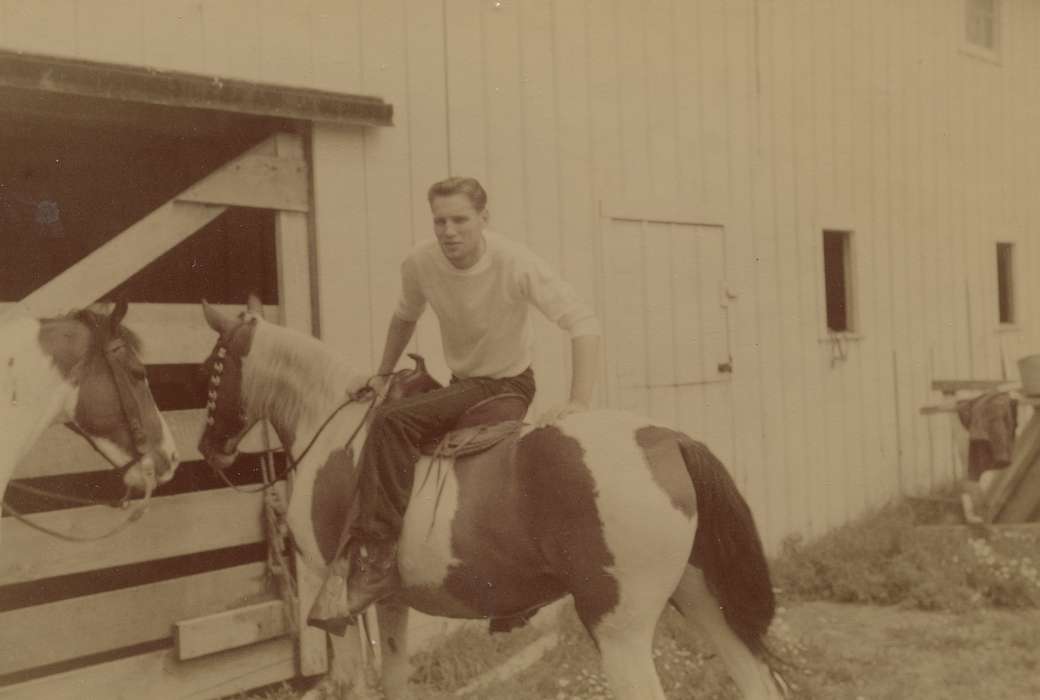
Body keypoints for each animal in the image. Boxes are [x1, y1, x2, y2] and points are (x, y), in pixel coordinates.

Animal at [196, 301, 786, 698]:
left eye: (211, 369)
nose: (208, 449)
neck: (336, 429)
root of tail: (668, 441)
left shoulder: (329, 594)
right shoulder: (387, 600)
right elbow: (393, 679)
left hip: (620, 627)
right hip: (702, 597)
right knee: (755, 679)